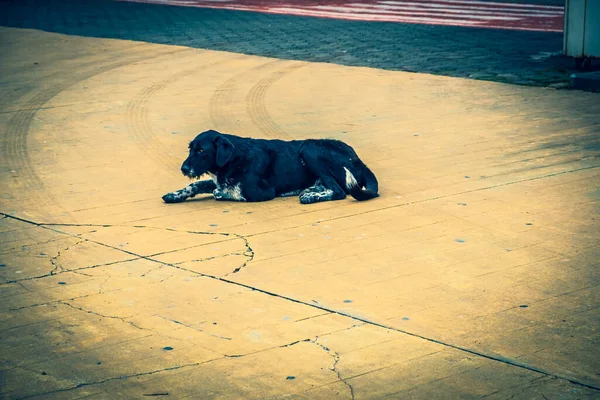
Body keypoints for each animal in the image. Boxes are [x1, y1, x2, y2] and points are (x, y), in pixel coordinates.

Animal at [163, 130, 380, 205]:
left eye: (201, 151)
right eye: (191, 148)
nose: (183, 168)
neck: (233, 159)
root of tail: (358, 159)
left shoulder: (262, 192)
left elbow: (230, 191)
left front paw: (221, 193)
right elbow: (197, 185)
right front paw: (175, 194)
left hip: (310, 147)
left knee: (338, 191)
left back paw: (311, 196)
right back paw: (311, 190)